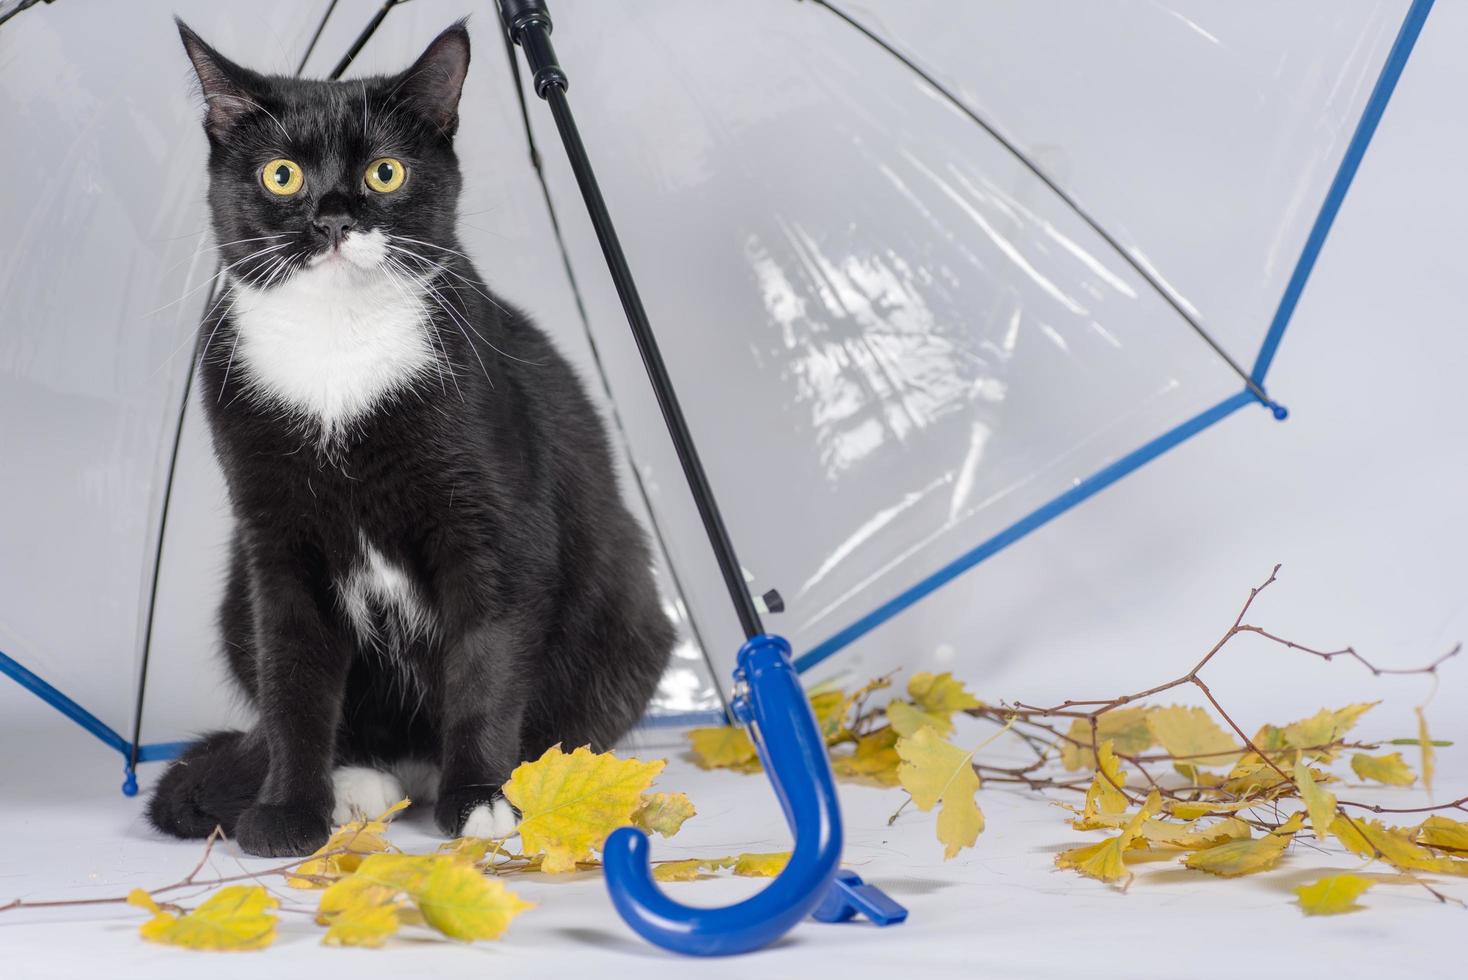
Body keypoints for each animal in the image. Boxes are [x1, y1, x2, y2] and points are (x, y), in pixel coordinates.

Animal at [146, 19, 672, 850]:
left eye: (386, 172)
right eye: (282, 176)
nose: (332, 218)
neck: (337, 353)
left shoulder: (494, 520)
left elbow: (487, 662)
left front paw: (481, 797)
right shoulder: (274, 539)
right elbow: (291, 676)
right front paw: (288, 811)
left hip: (629, 614)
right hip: (236, 595)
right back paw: (358, 782)